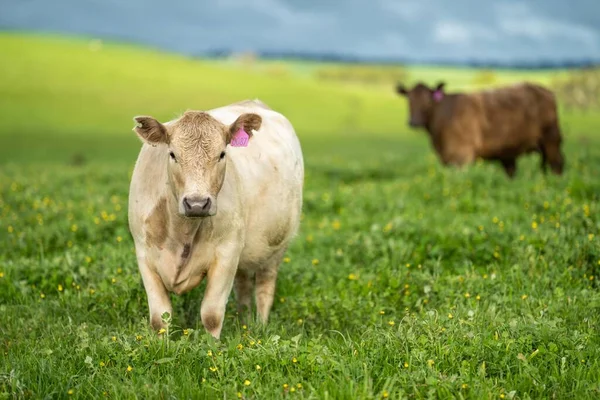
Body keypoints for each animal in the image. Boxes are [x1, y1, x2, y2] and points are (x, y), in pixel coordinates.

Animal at [127, 99, 304, 338]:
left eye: (221, 154)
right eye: (172, 154)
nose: (197, 203)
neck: (182, 230)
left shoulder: (227, 252)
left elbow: (211, 315)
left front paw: (211, 345)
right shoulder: (144, 253)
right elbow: (160, 317)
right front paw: (160, 344)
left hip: (275, 248)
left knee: (264, 287)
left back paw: (260, 326)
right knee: (243, 285)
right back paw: (243, 322)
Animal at [396, 80, 564, 177]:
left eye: (427, 101)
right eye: (409, 100)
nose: (413, 122)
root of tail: (546, 91)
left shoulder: (461, 156)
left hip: (551, 140)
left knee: (557, 166)